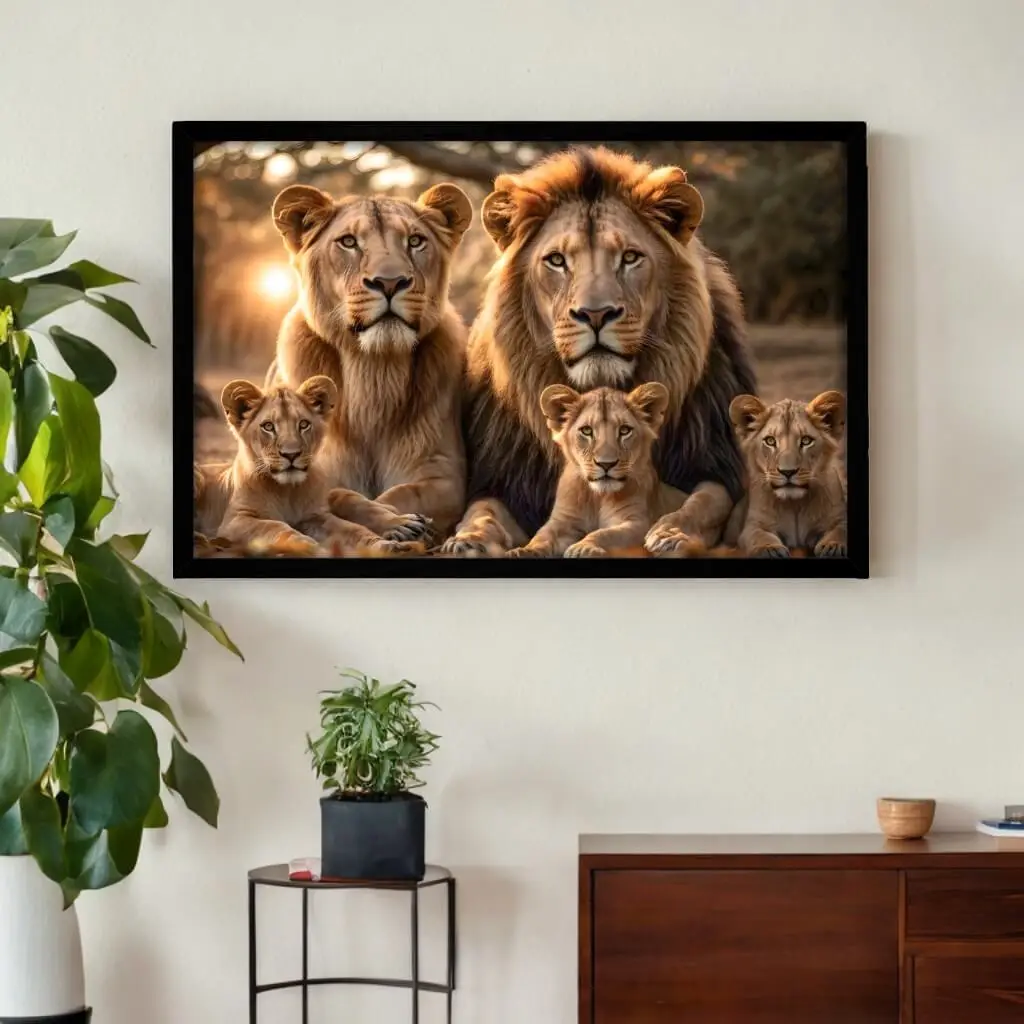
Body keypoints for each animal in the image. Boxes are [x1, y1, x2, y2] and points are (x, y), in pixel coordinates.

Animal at [213, 375, 423, 556]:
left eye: (303, 424)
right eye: (268, 426)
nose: (291, 454)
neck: (287, 491)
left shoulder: (316, 516)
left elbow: (352, 529)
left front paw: (382, 544)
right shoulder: (234, 521)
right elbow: (273, 526)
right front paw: (307, 546)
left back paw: (405, 523)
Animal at [267, 180, 472, 538]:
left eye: (415, 241)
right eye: (349, 242)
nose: (390, 282)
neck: (375, 370)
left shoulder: (444, 476)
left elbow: (399, 495)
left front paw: (402, 521)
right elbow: (344, 495)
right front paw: (395, 523)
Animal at [508, 382, 688, 557]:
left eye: (624, 430)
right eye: (586, 430)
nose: (606, 464)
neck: (597, 497)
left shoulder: (639, 523)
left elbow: (605, 534)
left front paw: (583, 547)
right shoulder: (562, 520)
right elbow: (543, 535)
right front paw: (523, 551)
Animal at [727, 390, 847, 558]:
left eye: (806, 440)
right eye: (770, 441)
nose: (787, 472)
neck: (794, 505)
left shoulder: (839, 517)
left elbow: (840, 530)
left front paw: (833, 546)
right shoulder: (753, 524)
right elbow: (759, 536)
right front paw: (769, 549)